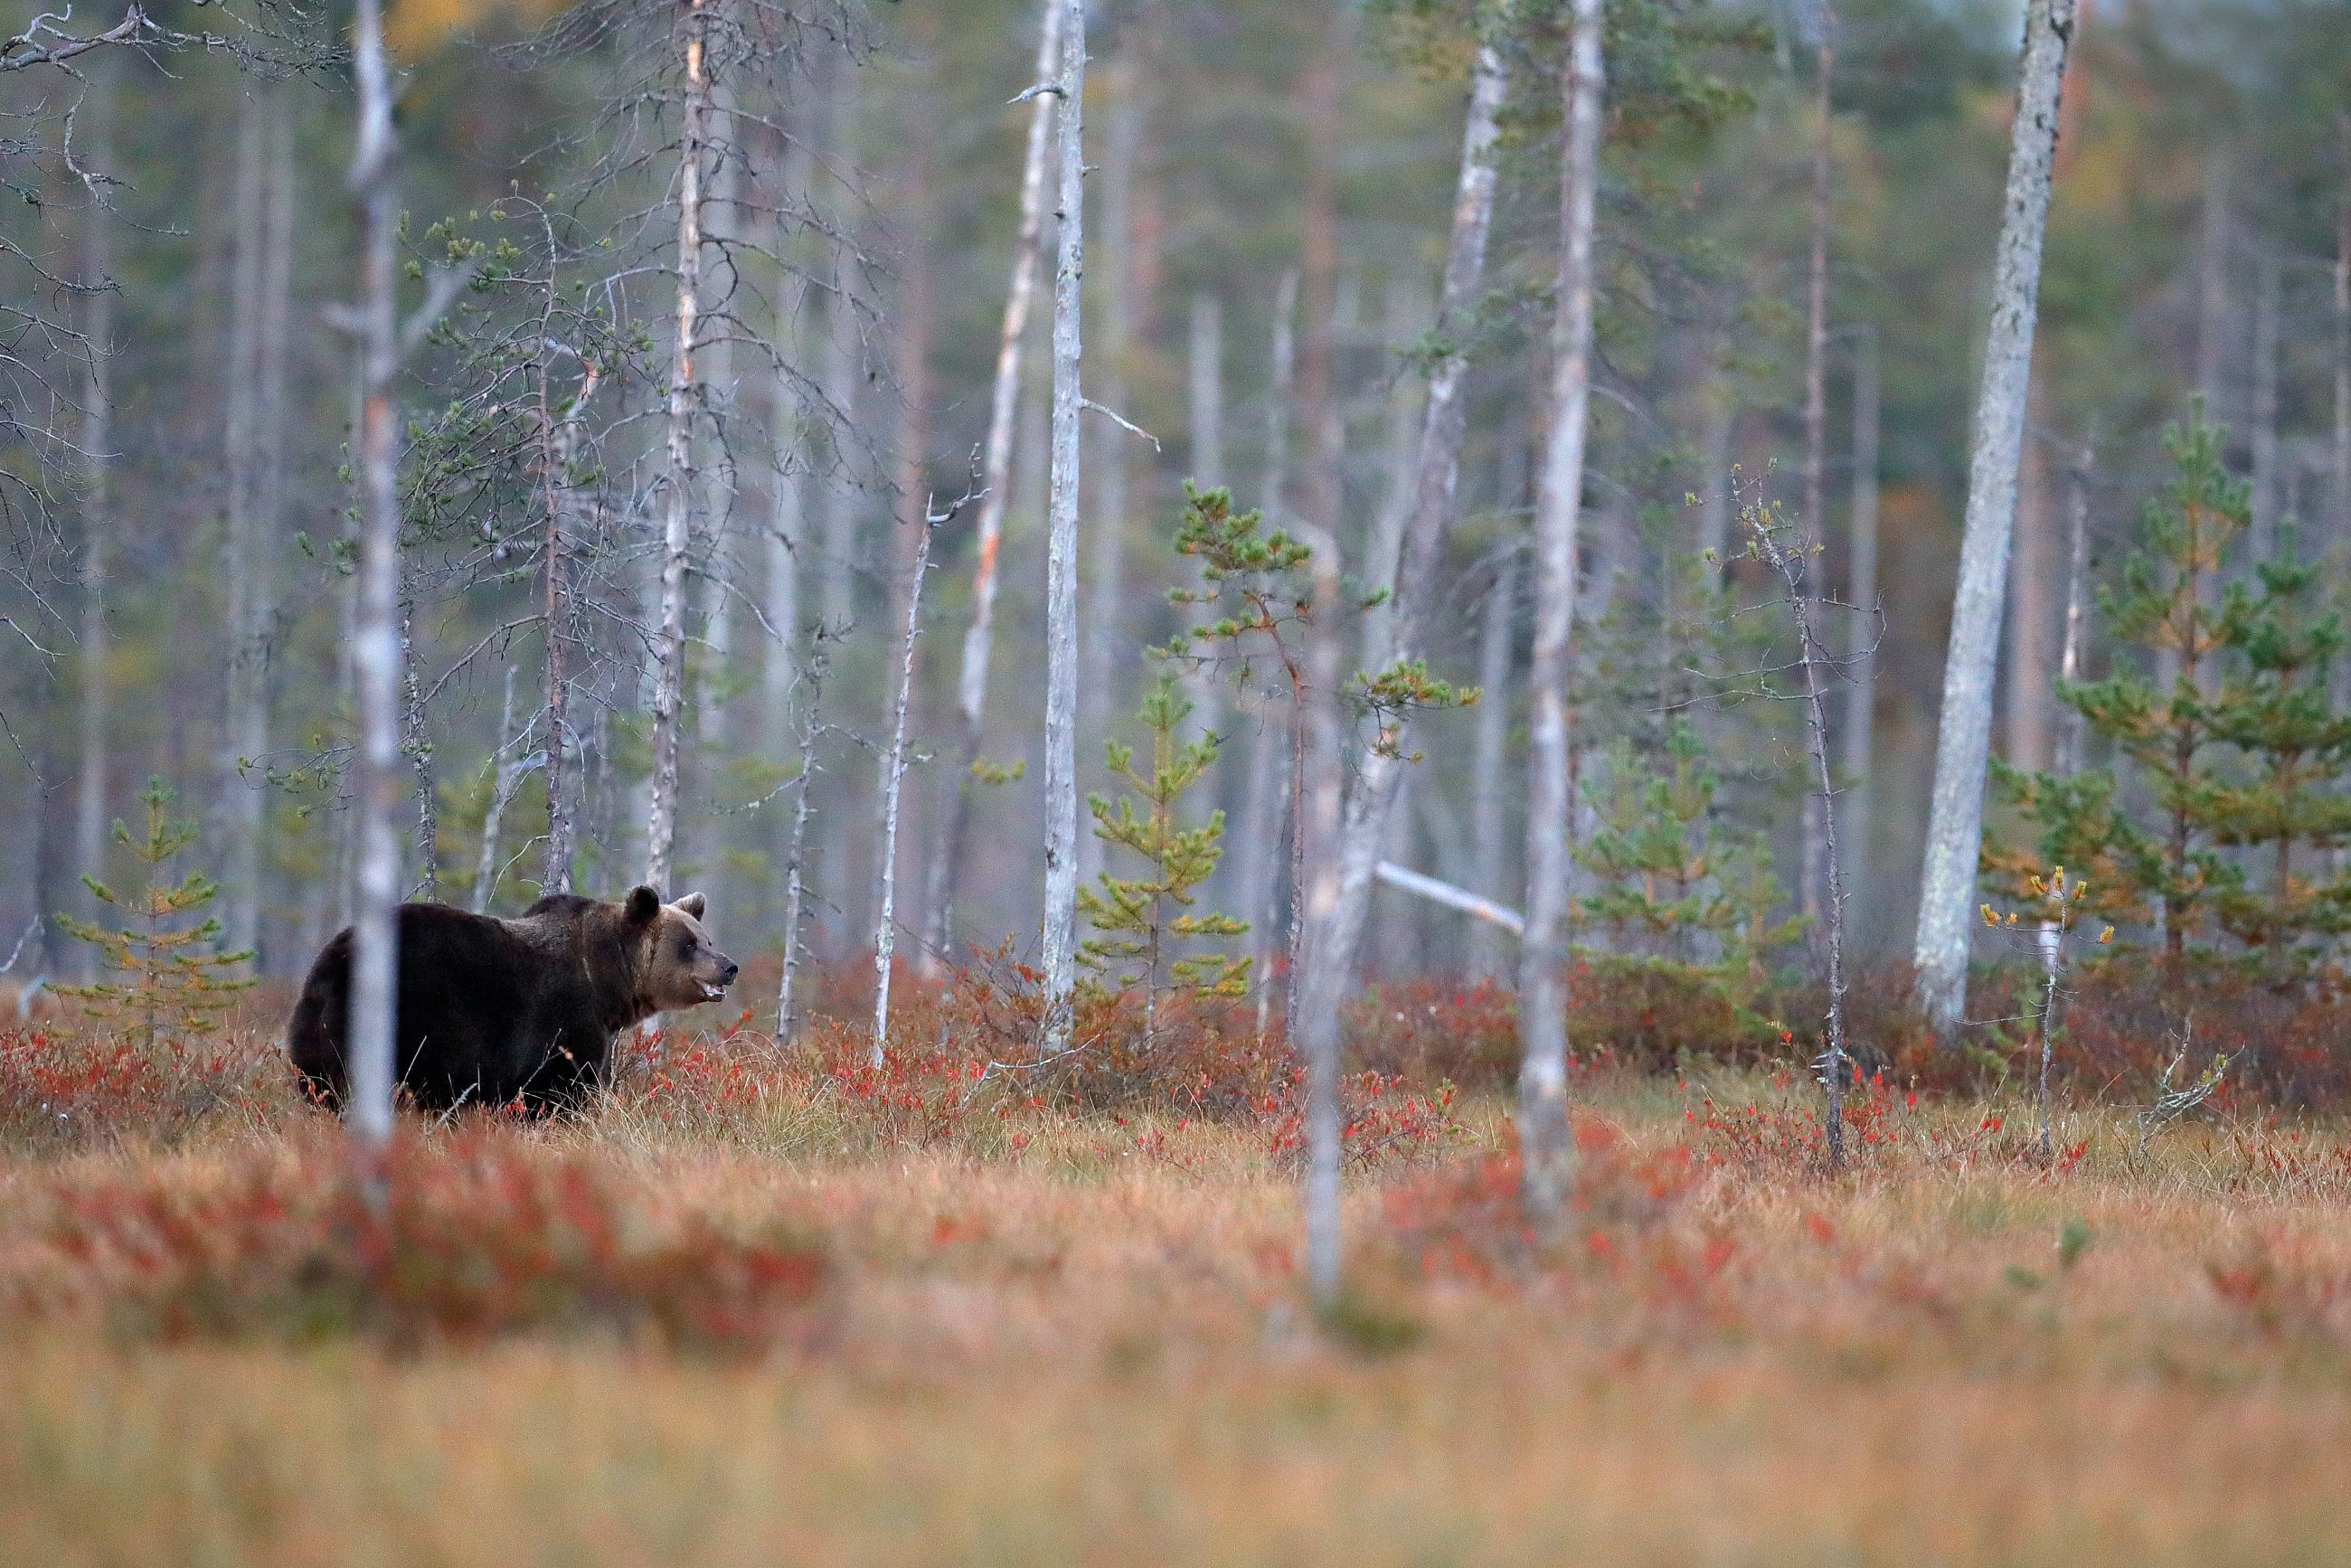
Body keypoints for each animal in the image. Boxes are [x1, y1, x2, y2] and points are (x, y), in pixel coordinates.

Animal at [286, 886, 737, 1116]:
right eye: (689, 944)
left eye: (707, 938)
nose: (729, 966)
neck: (608, 981)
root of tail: (335, 953)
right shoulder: (564, 1021)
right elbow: (563, 1088)